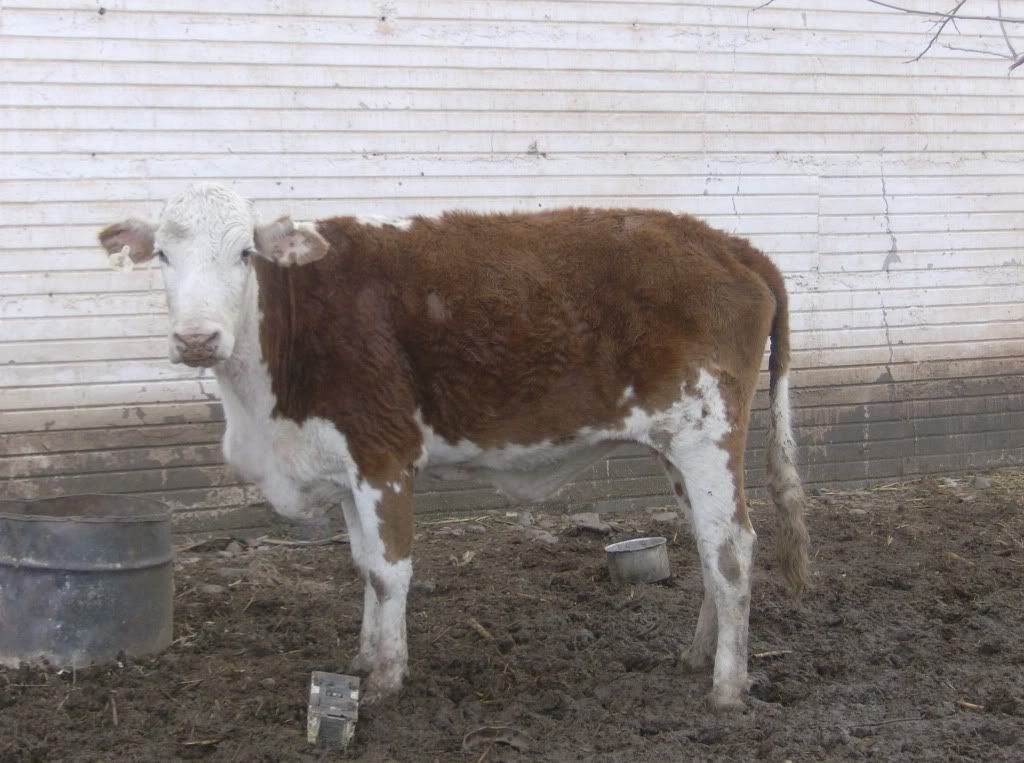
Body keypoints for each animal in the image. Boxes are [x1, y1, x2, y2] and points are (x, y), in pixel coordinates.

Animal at [99, 183, 810, 711]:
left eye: (246, 252)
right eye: (161, 255)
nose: (197, 338)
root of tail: (730, 245)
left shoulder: (384, 456)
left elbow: (391, 571)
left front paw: (387, 681)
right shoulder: (345, 466)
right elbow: (363, 566)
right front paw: (363, 658)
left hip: (707, 432)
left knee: (732, 548)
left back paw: (727, 687)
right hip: (674, 445)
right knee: (708, 546)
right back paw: (697, 656)